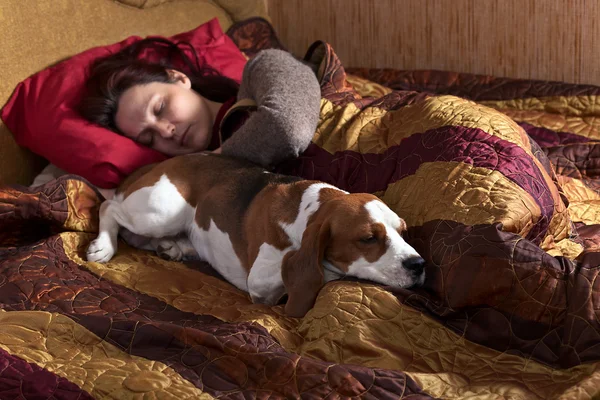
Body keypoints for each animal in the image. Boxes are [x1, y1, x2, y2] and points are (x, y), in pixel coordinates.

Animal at [88, 155, 426, 318]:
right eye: (368, 237)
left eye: (403, 231)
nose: (419, 265)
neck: (308, 210)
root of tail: (161, 163)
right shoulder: (261, 282)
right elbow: (320, 272)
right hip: (161, 211)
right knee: (109, 207)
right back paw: (104, 246)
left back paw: (174, 247)